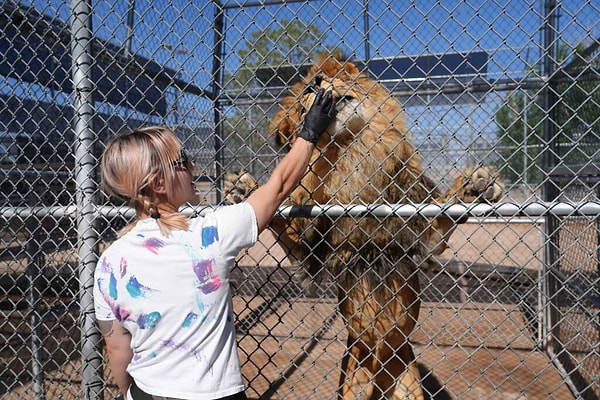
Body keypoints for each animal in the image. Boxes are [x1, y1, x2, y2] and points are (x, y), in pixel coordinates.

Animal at [224, 54, 502, 400]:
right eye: (303, 108)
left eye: (318, 80)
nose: (316, 87)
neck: (353, 153)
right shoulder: (311, 253)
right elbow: (283, 225)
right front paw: (242, 190)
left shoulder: (422, 231)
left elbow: (443, 216)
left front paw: (476, 187)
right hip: (354, 372)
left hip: (405, 376)